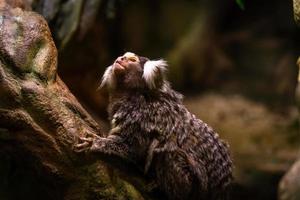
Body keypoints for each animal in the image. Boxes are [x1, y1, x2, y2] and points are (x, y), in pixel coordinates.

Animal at [76, 52, 233, 199]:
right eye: (123, 56)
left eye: (132, 60)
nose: (119, 59)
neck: (134, 93)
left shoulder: (140, 115)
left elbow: (130, 146)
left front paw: (95, 143)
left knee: (166, 149)